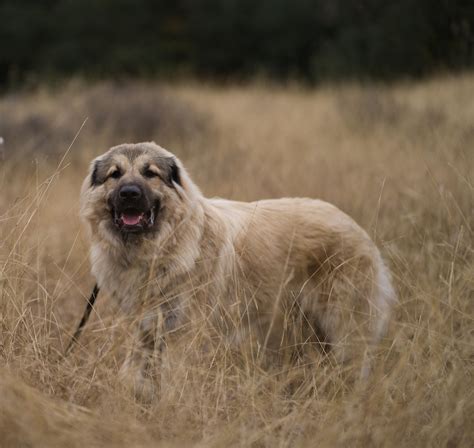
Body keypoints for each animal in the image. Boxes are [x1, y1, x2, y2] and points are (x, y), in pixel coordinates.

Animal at [79, 141, 394, 400]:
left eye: (150, 173)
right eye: (115, 174)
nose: (129, 193)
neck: (162, 246)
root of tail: (353, 226)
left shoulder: (185, 332)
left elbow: (173, 379)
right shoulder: (146, 327)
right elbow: (133, 374)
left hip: (343, 327)